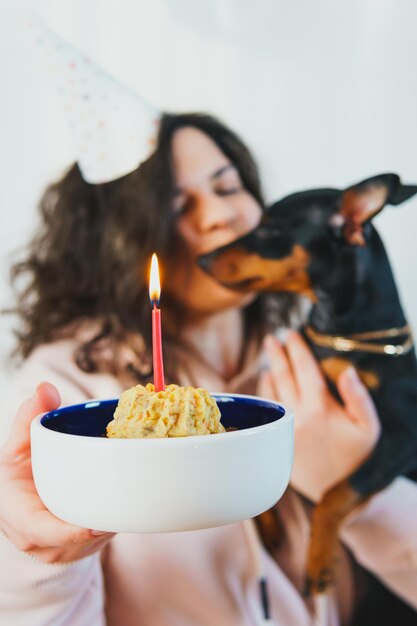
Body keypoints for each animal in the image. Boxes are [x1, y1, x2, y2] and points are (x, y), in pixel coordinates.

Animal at [197, 174, 416, 600]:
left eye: (269, 229)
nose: (201, 260)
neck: (340, 336)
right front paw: (267, 525)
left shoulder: (402, 436)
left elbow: (336, 493)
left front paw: (319, 563)